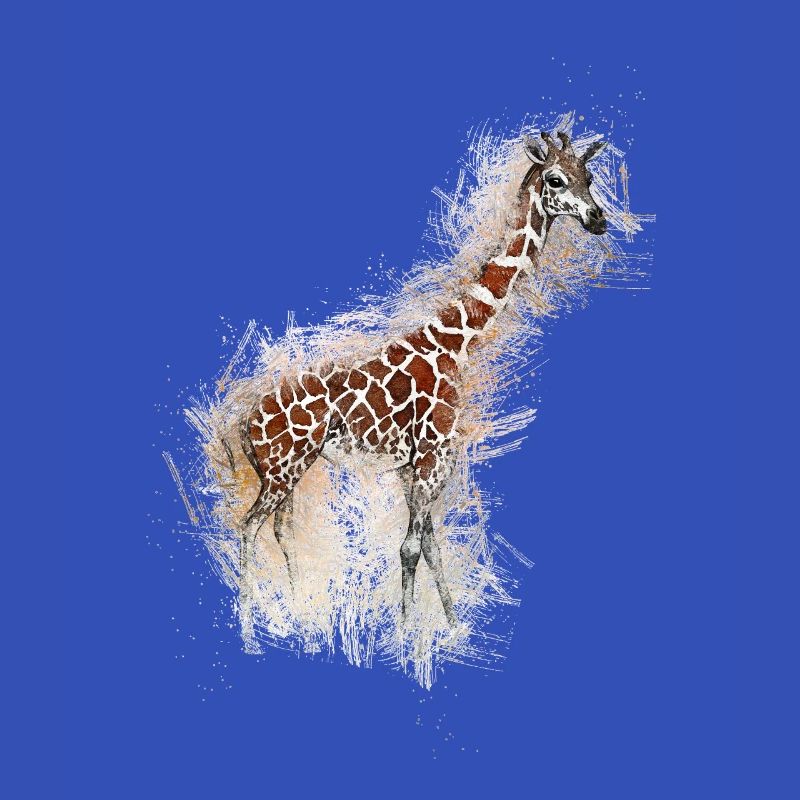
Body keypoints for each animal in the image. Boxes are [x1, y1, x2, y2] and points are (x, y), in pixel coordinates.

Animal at [236, 130, 608, 648]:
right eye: (556, 178)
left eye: (589, 176)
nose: (598, 220)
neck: (458, 340)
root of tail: (242, 424)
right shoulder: (433, 454)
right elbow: (411, 546)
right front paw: (408, 637)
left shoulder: (417, 465)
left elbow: (430, 544)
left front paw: (452, 626)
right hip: (281, 471)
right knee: (248, 527)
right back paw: (250, 624)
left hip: (287, 472)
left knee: (280, 528)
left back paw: (297, 610)